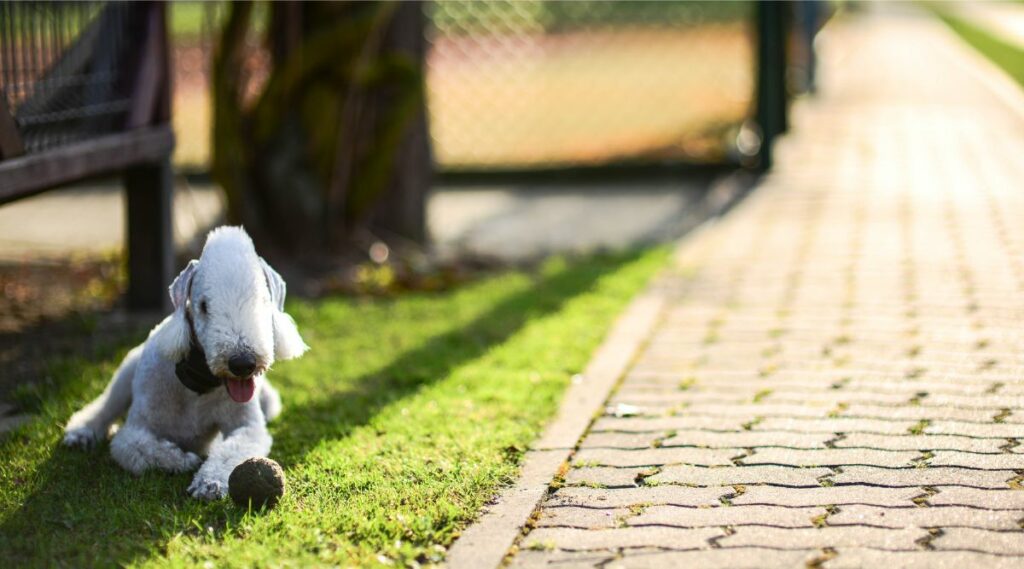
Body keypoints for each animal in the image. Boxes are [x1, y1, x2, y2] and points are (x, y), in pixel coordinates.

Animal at [60, 224, 305, 499]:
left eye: (263, 301)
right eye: (204, 306)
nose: (243, 364)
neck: (198, 384)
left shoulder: (247, 427)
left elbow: (231, 450)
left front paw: (209, 483)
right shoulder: (136, 428)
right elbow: (136, 446)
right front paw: (183, 460)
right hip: (127, 369)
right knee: (107, 404)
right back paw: (81, 433)